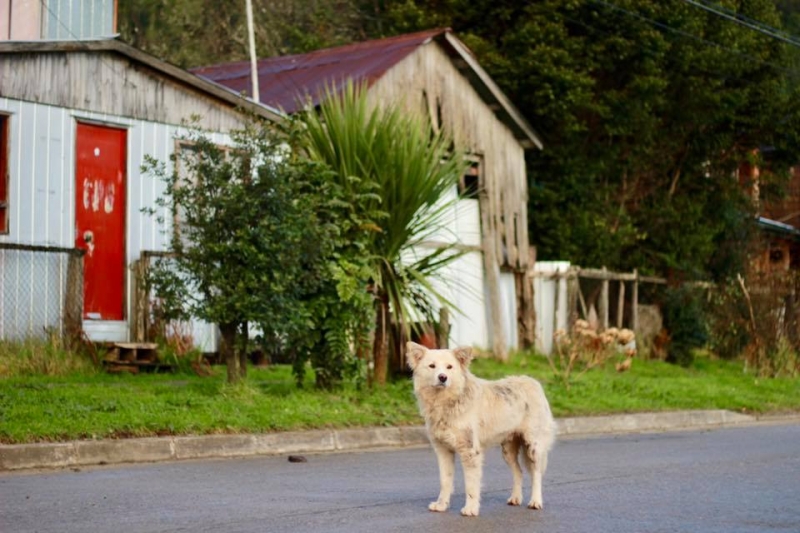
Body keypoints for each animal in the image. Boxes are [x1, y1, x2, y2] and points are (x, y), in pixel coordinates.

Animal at [406, 340, 556, 516]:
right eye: (432, 366)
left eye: (449, 367)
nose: (442, 377)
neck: (447, 402)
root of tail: (533, 382)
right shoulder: (443, 451)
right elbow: (445, 481)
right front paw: (441, 505)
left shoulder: (470, 452)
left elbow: (470, 485)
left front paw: (470, 509)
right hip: (508, 450)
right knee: (518, 472)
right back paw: (515, 498)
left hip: (533, 446)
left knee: (536, 474)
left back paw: (535, 501)